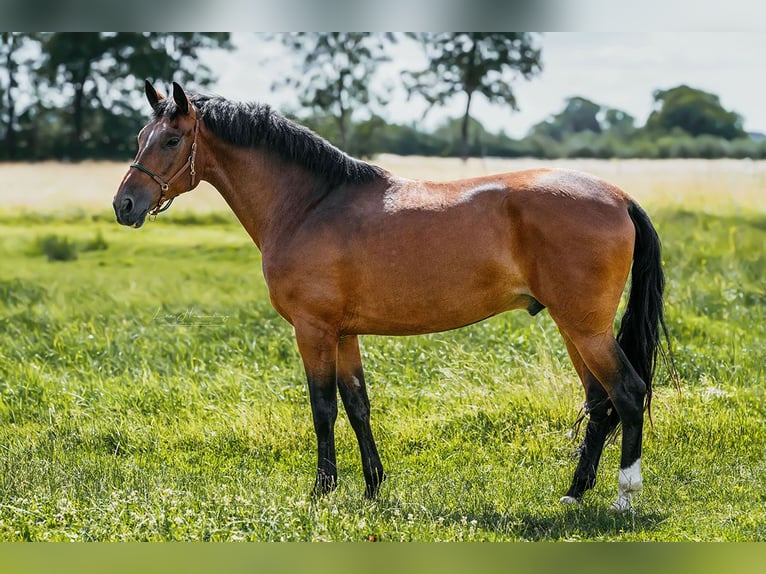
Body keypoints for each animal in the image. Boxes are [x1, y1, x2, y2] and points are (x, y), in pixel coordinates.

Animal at [114, 80, 672, 512]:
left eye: (170, 139)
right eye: (139, 136)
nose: (124, 205)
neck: (310, 204)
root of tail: (619, 197)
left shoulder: (313, 330)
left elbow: (322, 407)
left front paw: (321, 492)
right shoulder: (344, 334)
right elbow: (357, 404)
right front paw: (372, 487)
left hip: (586, 328)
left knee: (627, 392)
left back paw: (624, 496)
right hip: (572, 327)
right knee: (599, 401)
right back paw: (575, 493)